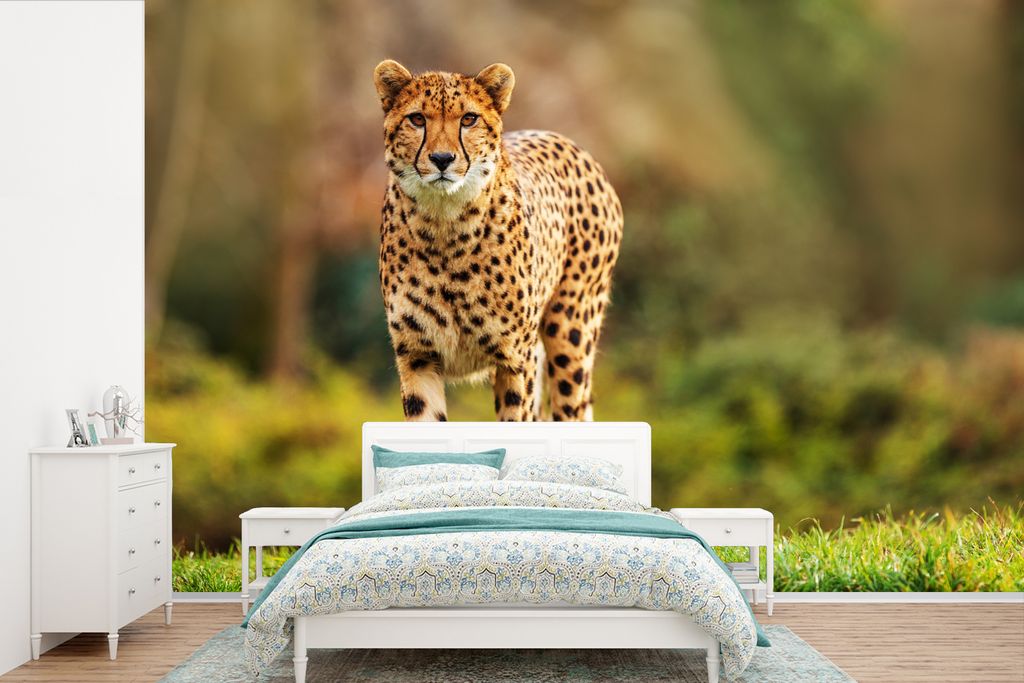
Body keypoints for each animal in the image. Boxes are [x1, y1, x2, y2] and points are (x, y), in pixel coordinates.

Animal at [373, 60, 623, 422]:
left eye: (469, 119)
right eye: (417, 119)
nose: (442, 159)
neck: (445, 225)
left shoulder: (515, 359)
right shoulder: (418, 358)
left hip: (570, 332)